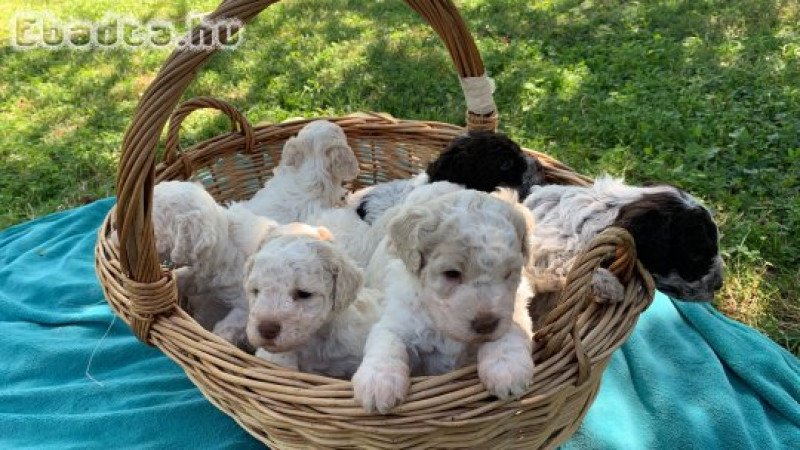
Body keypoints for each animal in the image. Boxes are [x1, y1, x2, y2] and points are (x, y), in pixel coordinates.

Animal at [352, 188, 536, 414]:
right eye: (452, 274)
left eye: (508, 273)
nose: (486, 324)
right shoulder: (399, 319)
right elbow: (387, 341)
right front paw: (378, 383)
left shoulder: (516, 305)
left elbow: (513, 327)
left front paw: (507, 367)